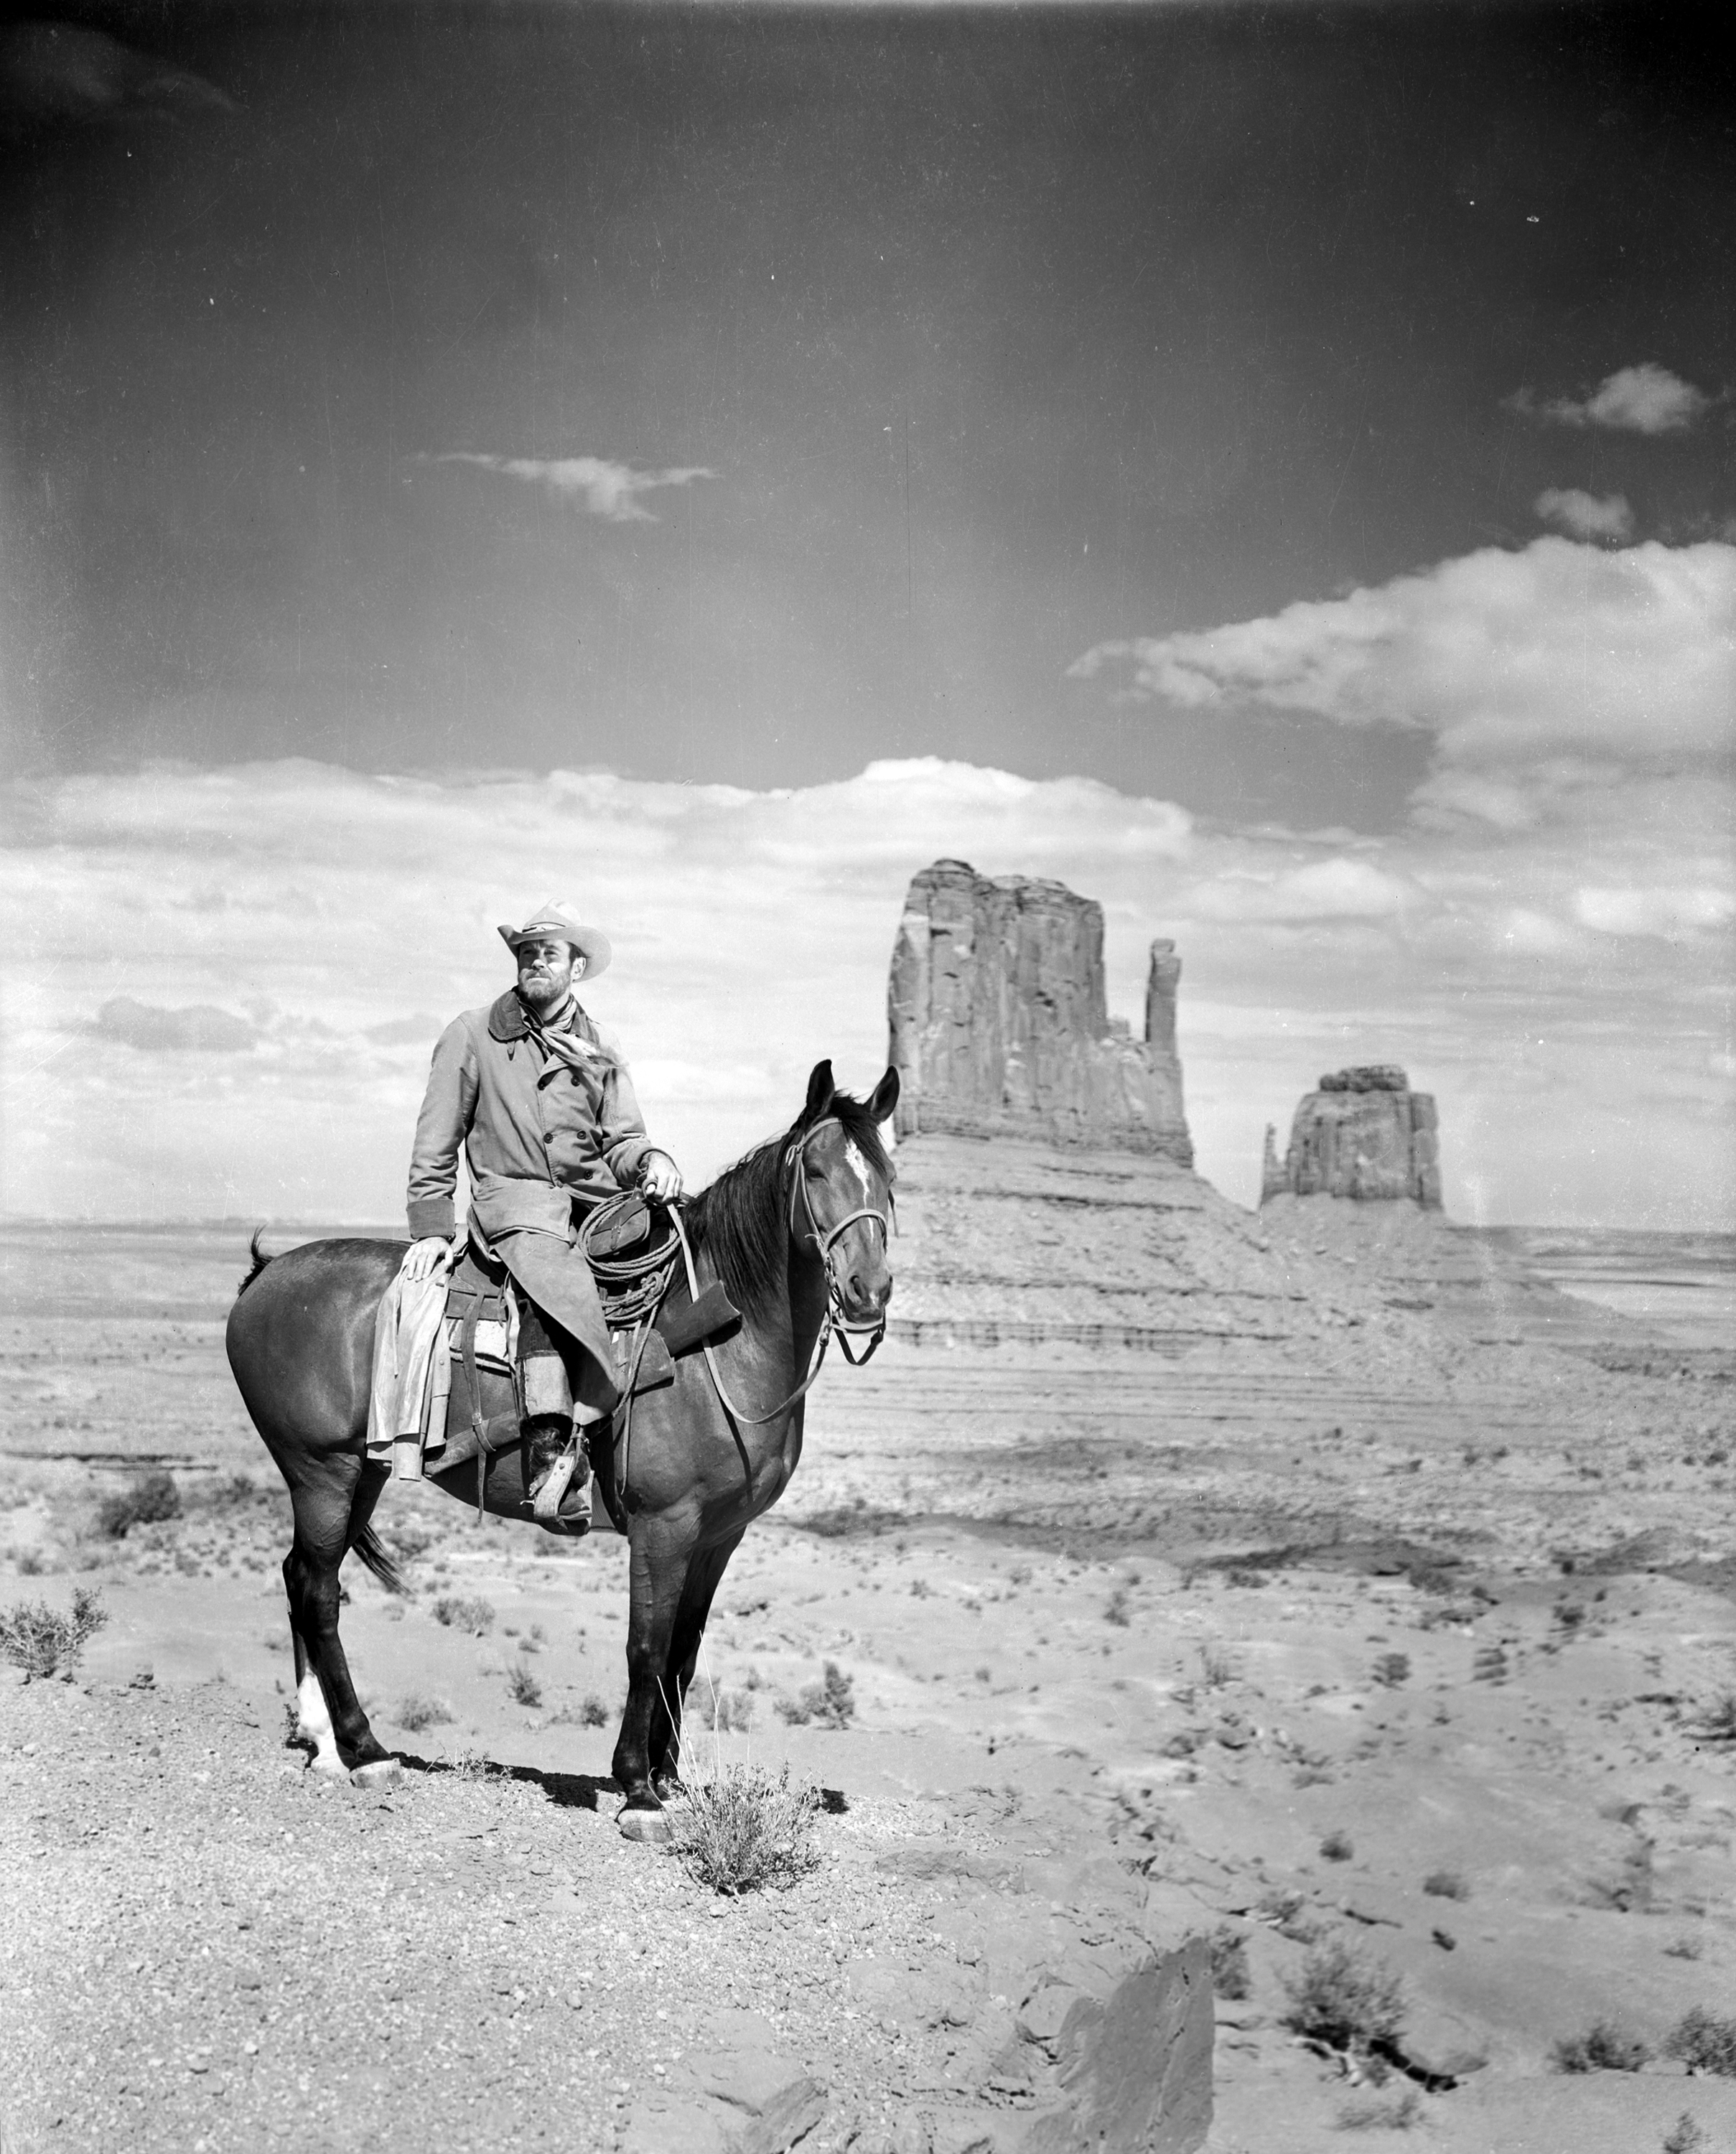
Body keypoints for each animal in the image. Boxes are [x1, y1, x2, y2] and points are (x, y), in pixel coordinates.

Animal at [224, 1060, 896, 1835]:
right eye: (815, 1172)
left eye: (886, 1174)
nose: (869, 1289)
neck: (721, 1341)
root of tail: (264, 1275)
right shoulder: (665, 1528)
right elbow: (646, 1647)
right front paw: (637, 1789)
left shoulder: (719, 1535)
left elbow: (684, 1654)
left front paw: (669, 1779)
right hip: (322, 1472)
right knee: (319, 1591)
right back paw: (364, 1751)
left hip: (359, 1473)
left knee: (300, 1575)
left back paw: (325, 1744)